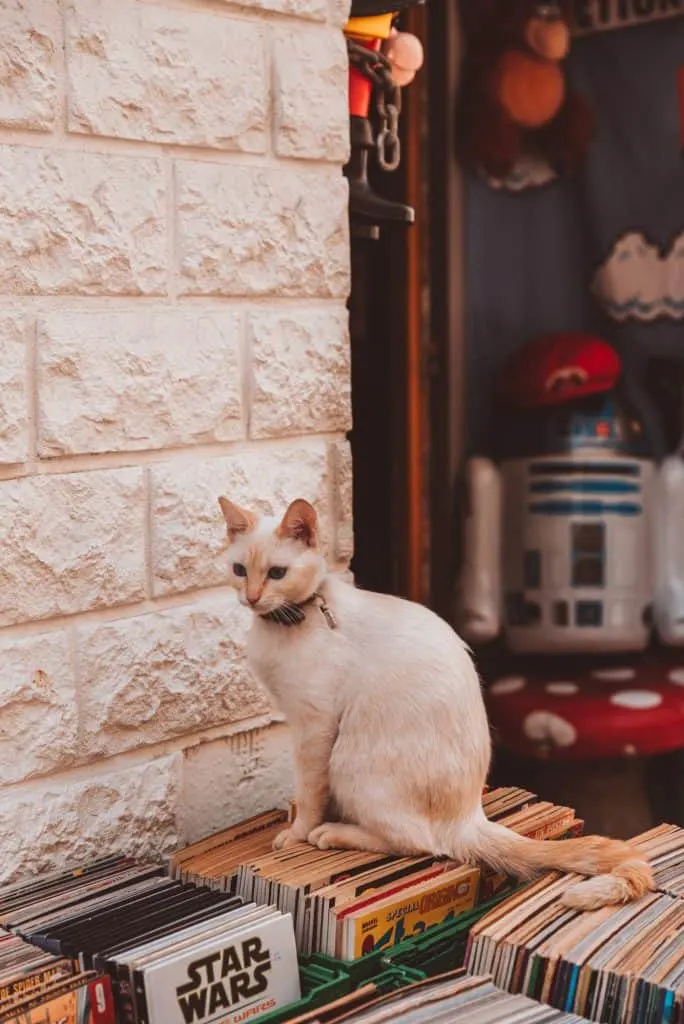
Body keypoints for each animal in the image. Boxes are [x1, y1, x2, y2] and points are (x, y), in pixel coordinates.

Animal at [219, 491, 651, 909]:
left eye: (277, 573)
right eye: (240, 570)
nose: (251, 597)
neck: (287, 622)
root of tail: (470, 817)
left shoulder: (313, 726)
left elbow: (309, 793)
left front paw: (296, 833)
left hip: (348, 760)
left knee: (420, 843)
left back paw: (334, 832)